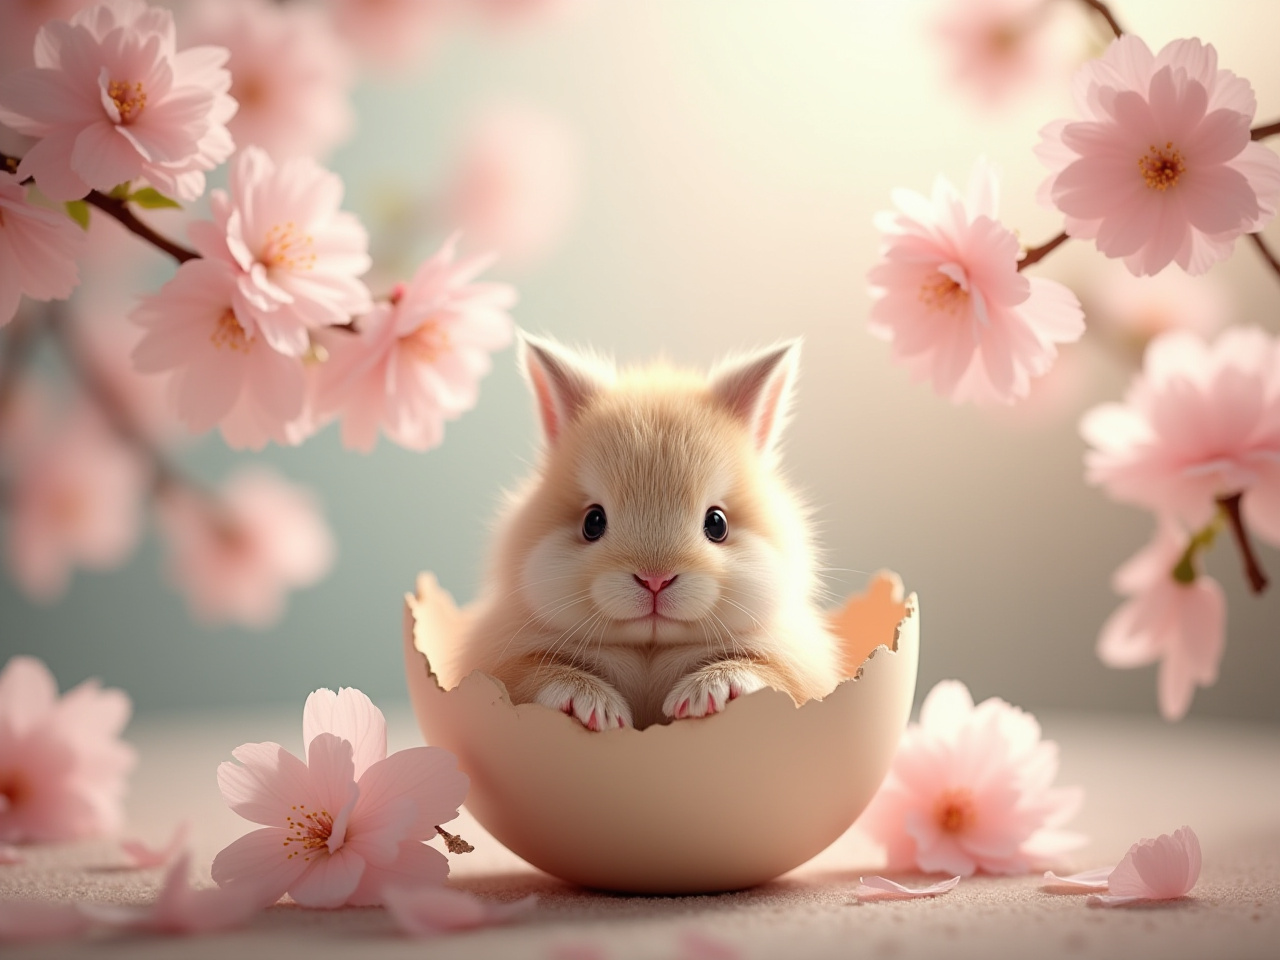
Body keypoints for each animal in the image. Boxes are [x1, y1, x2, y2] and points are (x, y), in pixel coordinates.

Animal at [458, 331, 841, 730]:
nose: (655, 579)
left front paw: (704, 693)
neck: (649, 649)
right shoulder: (507, 663)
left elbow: (762, 672)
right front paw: (597, 707)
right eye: (593, 522)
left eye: (716, 523)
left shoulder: (792, 664)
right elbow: (541, 676)